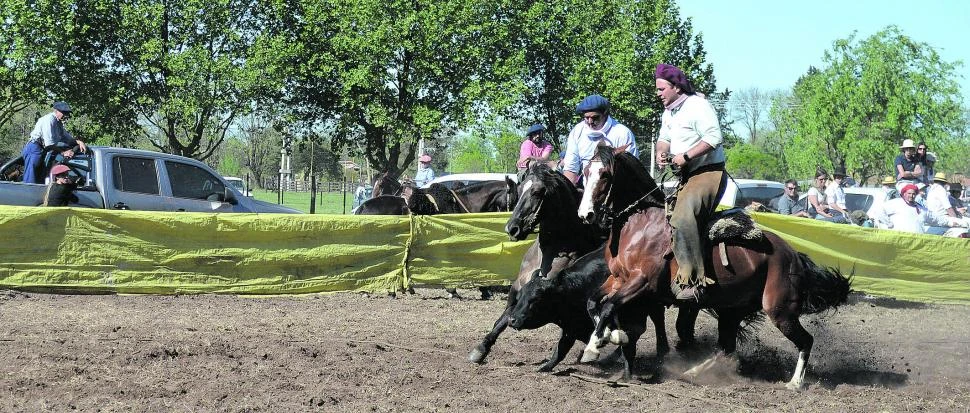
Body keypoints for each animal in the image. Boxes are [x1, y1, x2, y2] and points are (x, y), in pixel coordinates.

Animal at [469, 160, 677, 373]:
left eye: (537, 192)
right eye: (520, 189)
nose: (512, 228)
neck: (548, 254)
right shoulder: (517, 293)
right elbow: (502, 319)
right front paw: (481, 349)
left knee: (657, 316)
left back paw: (659, 352)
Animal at [578, 145, 851, 389]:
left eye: (605, 174)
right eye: (586, 171)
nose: (585, 215)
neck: (640, 224)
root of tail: (793, 254)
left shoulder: (642, 281)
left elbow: (609, 306)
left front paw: (596, 345)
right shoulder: (617, 279)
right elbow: (593, 303)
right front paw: (609, 336)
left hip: (780, 310)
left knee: (806, 340)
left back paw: (795, 383)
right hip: (732, 311)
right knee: (726, 348)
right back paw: (692, 371)